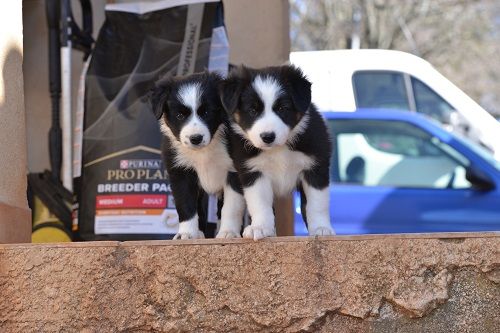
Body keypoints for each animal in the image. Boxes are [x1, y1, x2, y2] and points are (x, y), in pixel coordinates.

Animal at [149, 72, 245, 239]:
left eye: (206, 112)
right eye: (180, 115)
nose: (196, 138)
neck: (202, 152)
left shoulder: (234, 172)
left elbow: (231, 206)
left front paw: (229, 233)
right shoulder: (181, 172)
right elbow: (186, 204)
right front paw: (186, 234)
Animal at [220, 64, 334, 239]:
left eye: (282, 108)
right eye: (252, 110)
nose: (268, 137)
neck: (278, 149)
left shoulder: (315, 168)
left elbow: (317, 204)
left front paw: (321, 229)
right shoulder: (252, 171)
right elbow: (259, 203)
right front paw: (260, 227)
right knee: (231, 207)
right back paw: (228, 232)